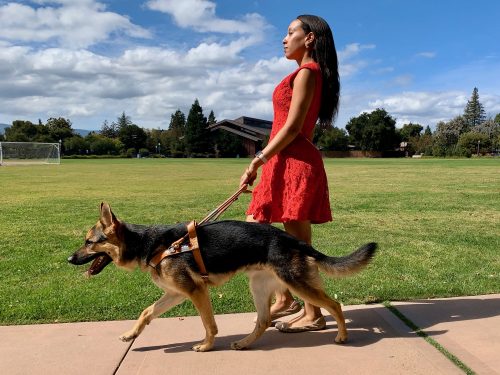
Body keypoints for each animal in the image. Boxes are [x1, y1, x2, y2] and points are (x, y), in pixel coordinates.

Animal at [68, 203, 376, 352]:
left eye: (89, 242)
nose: (69, 259)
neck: (149, 244)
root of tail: (293, 240)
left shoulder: (195, 292)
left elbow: (209, 323)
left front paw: (206, 346)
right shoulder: (176, 293)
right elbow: (146, 312)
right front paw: (131, 334)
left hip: (297, 284)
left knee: (334, 304)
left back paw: (342, 336)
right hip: (260, 287)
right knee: (264, 320)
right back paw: (245, 343)